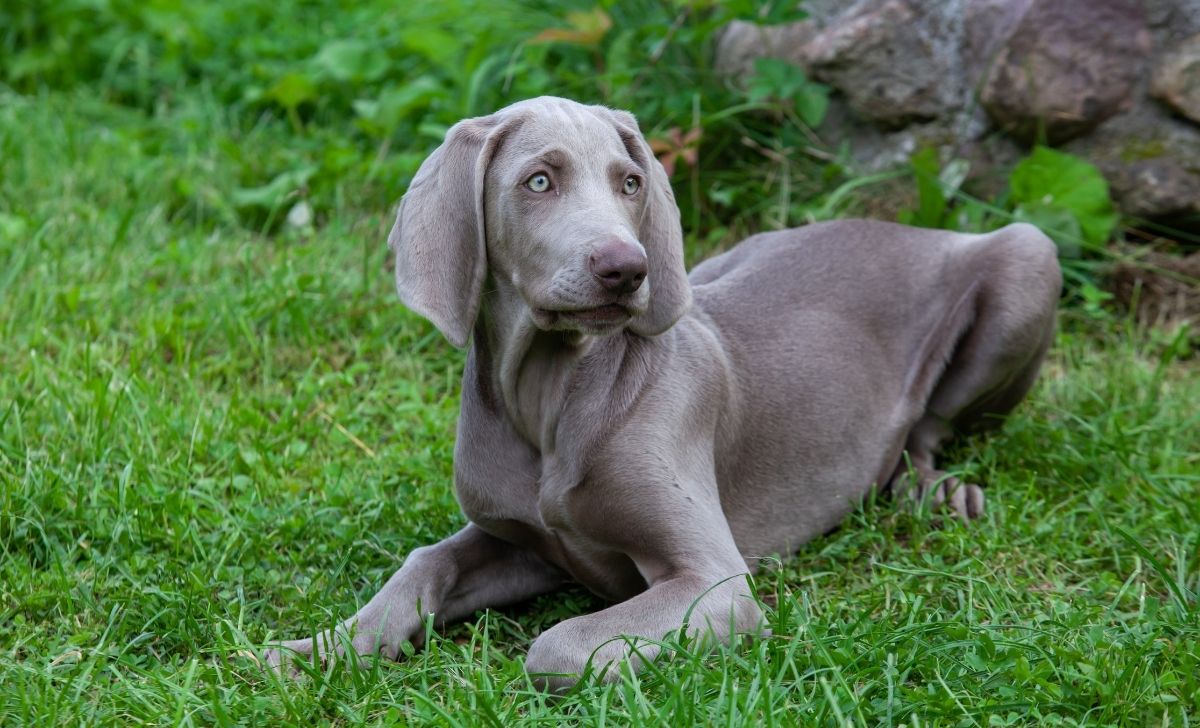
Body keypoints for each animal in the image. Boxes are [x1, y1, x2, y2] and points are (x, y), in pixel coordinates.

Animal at [265, 95, 1060, 690]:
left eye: (630, 182)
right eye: (538, 181)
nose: (627, 269)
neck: (553, 395)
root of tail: (909, 227)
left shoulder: (715, 584)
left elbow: (556, 648)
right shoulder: (521, 540)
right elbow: (425, 562)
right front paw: (318, 649)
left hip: (1029, 254)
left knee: (926, 430)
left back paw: (938, 492)